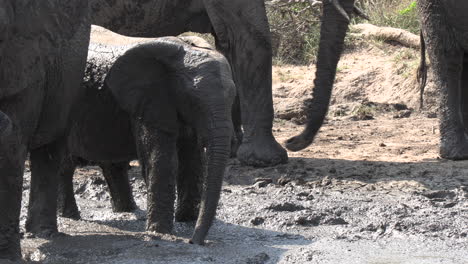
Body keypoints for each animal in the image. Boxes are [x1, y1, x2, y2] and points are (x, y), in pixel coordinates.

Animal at [0, 0, 90, 260]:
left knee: (51, 148)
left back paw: (44, 233)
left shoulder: (27, 61)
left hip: (71, 75)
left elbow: (12, 147)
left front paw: (7, 258)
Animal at [58, 36, 234, 244]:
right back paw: (70, 216)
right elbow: (161, 160)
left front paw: (187, 221)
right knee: (65, 165)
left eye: (233, 99)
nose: (194, 241)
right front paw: (160, 233)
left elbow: (192, 162)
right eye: (194, 101)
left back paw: (126, 211)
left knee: (113, 165)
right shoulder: (150, 101)